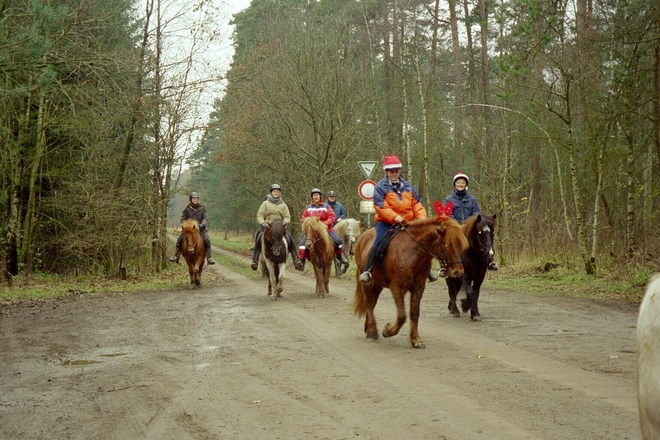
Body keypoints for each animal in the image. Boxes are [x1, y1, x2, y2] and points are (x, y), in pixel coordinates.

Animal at [350, 210, 470, 348]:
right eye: (447, 245)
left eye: (460, 244)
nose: (458, 271)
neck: (412, 252)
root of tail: (363, 237)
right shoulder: (396, 287)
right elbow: (402, 315)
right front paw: (387, 331)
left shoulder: (418, 288)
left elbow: (414, 313)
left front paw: (416, 339)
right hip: (367, 282)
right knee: (369, 302)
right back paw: (372, 331)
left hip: (378, 283)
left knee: (373, 302)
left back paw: (368, 327)